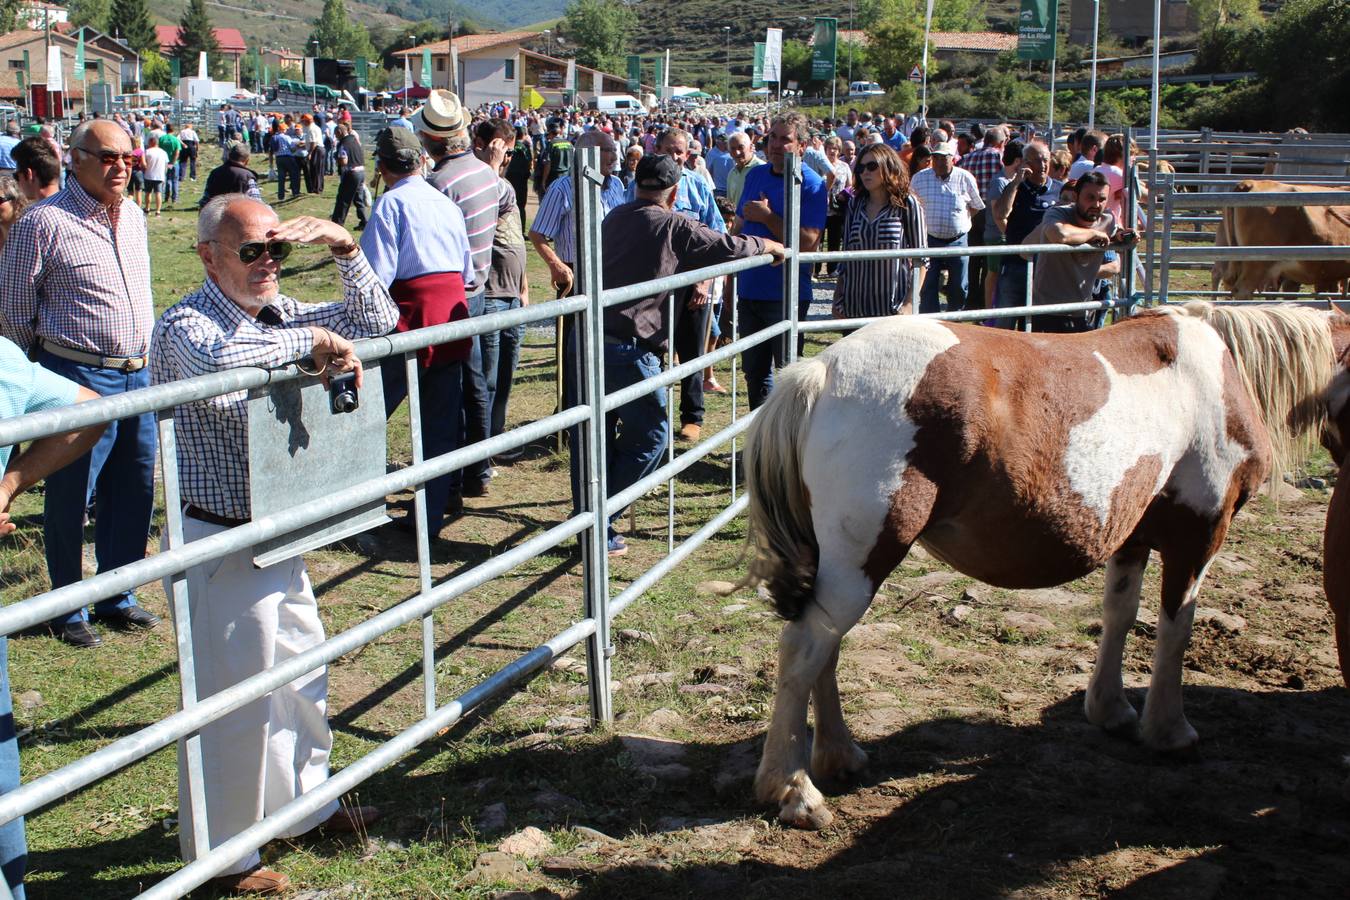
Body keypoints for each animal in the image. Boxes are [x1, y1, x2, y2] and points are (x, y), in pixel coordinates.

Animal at [739, 302, 1350, 831]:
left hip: (841, 566)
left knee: (825, 650)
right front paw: (1169, 730)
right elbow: (1175, 631)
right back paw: (794, 790)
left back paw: (839, 755)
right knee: (805, 649)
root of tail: (821, 370)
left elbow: (1120, 614)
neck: (1218, 372)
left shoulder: (1130, 535)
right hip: (862, 560)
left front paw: (1111, 710)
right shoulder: (1197, 536)